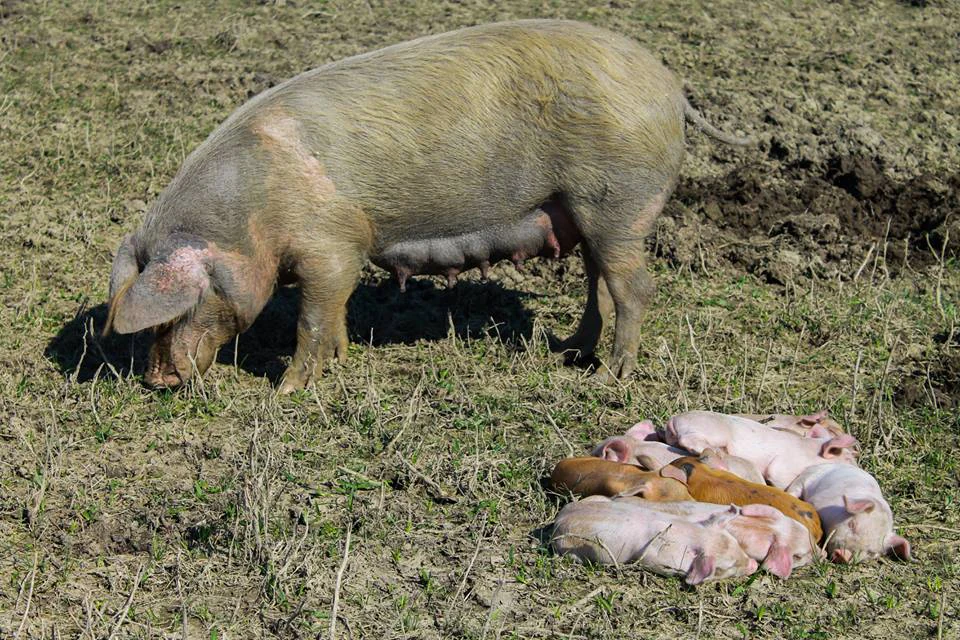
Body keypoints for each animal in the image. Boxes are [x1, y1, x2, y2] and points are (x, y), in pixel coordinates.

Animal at [103, 19, 752, 392]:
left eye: (181, 308)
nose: (156, 380)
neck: (251, 216)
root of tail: (671, 88)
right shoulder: (340, 254)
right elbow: (333, 314)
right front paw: (340, 361)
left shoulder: (330, 245)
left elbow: (313, 316)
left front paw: (287, 392)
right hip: (584, 212)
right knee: (599, 284)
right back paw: (571, 352)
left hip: (618, 202)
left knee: (634, 287)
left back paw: (609, 379)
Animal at [551, 495, 759, 584]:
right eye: (727, 567)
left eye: (737, 543)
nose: (754, 564)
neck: (693, 535)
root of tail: (559, 519)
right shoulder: (655, 558)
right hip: (573, 549)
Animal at [664, 411, 858, 488]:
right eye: (848, 459)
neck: (811, 453)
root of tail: (674, 419)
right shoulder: (783, 466)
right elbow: (778, 475)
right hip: (714, 431)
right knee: (689, 439)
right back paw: (719, 452)